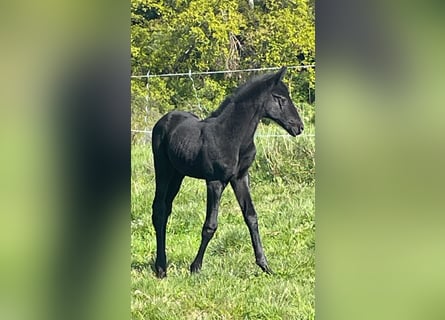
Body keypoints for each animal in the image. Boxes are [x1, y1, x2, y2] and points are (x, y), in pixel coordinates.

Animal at [151, 67, 304, 278]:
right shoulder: (215, 182)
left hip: (178, 174)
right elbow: (210, 225)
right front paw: (195, 267)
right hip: (163, 169)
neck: (233, 135)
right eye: (279, 97)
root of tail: (164, 119)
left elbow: (251, 217)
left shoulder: (240, 178)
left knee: (166, 209)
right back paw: (161, 268)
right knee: (159, 209)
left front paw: (265, 266)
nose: (299, 127)